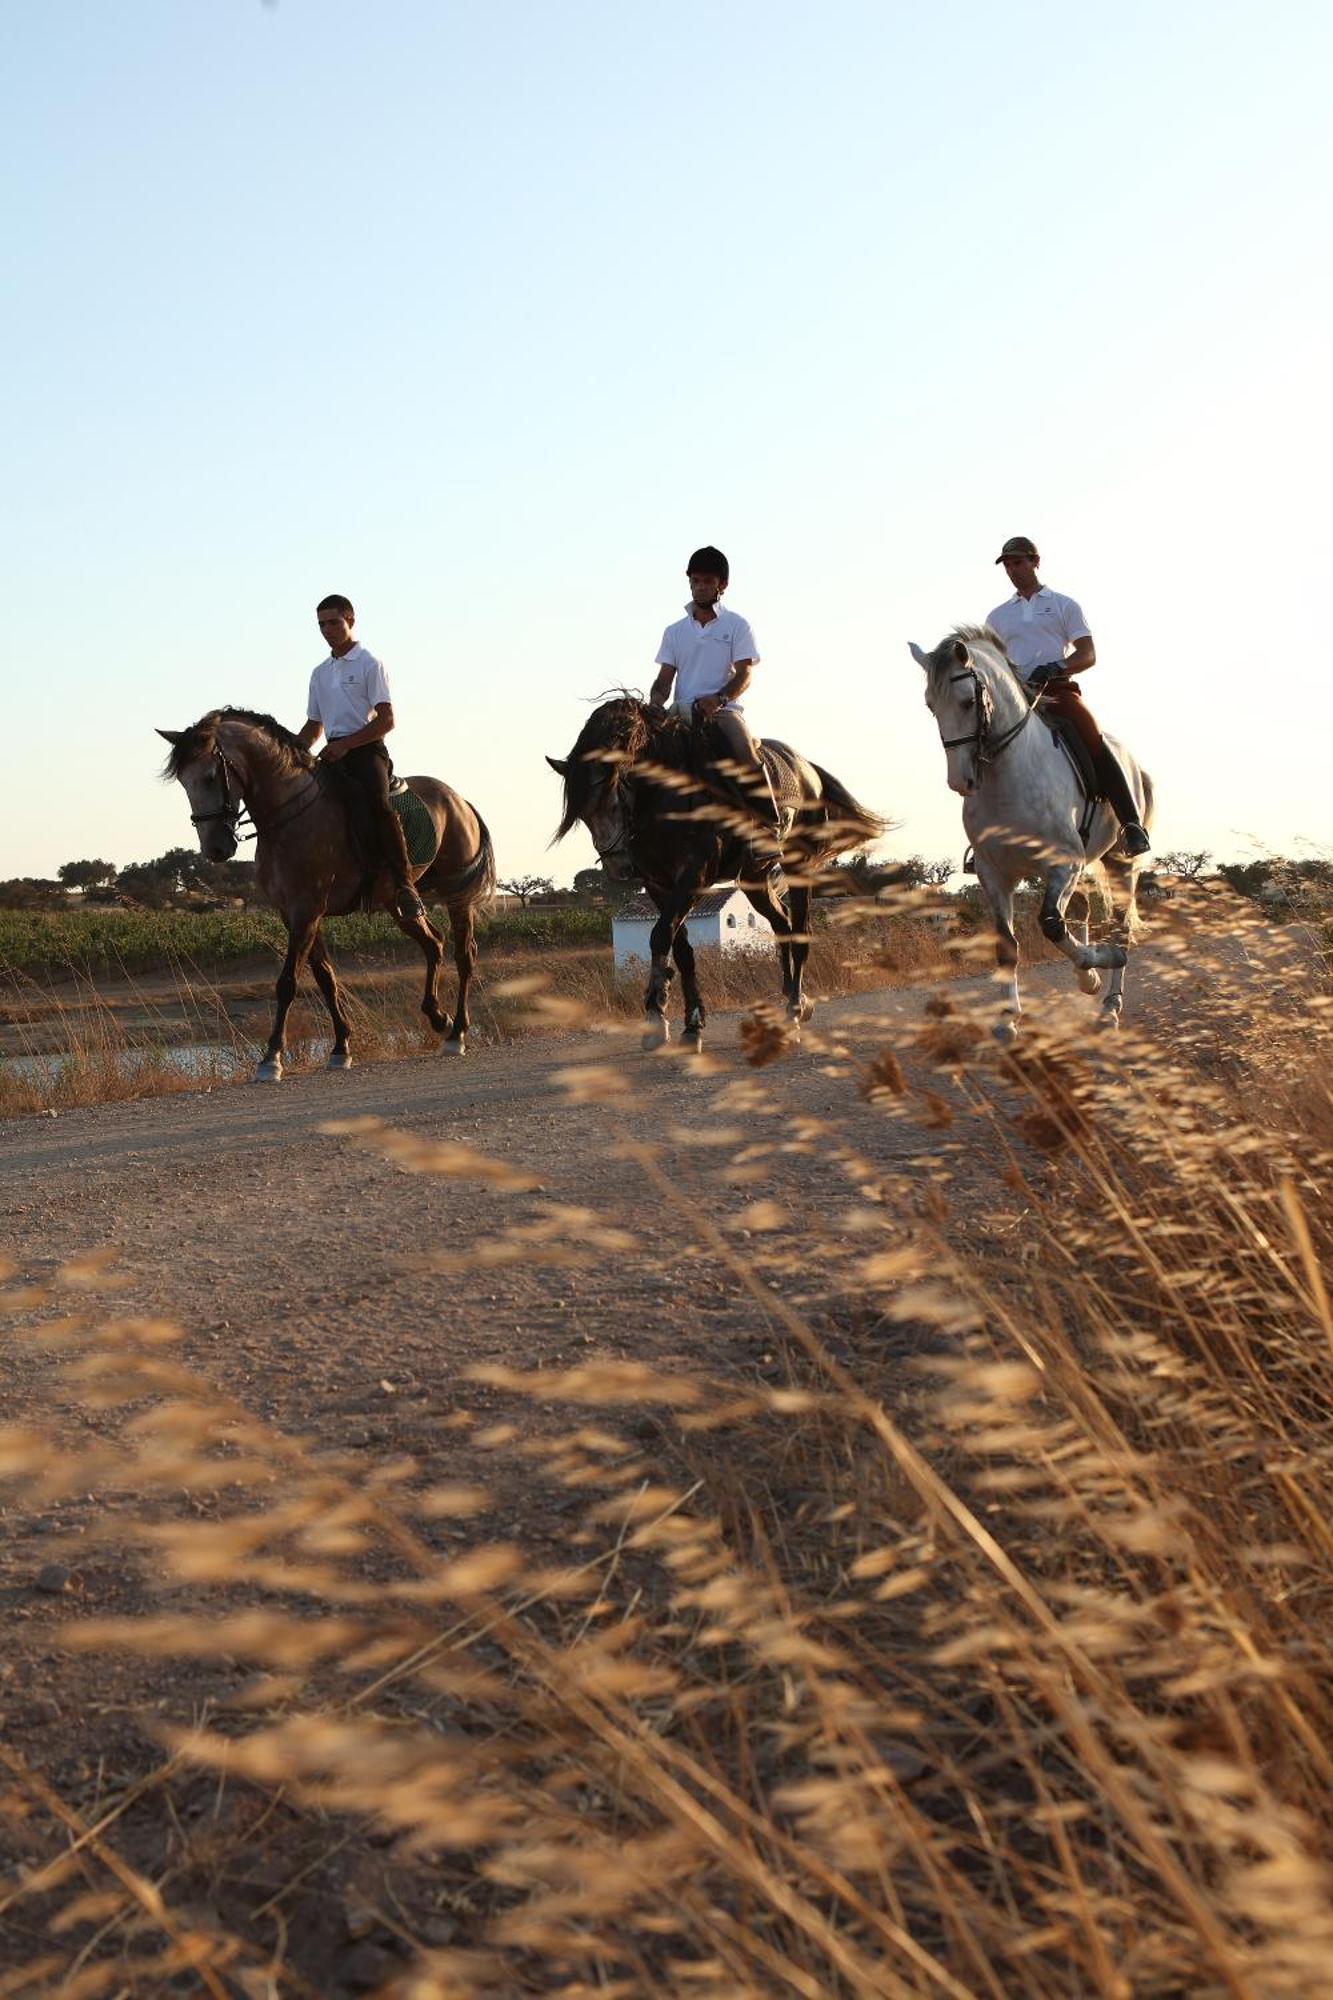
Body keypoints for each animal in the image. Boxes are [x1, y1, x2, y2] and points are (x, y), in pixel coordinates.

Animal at [160, 708, 492, 1080]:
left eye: (210, 776)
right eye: (184, 782)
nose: (216, 849)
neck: (288, 816)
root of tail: (459, 801)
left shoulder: (308, 909)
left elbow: (288, 982)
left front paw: (271, 1058)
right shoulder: (294, 913)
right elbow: (325, 978)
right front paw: (340, 1048)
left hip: (457, 896)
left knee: (464, 955)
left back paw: (457, 1033)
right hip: (396, 903)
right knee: (433, 943)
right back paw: (438, 1018)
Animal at [540, 696, 880, 1048]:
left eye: (614, 800)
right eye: (584, 815)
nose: (618, 867)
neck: (663, 797)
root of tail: (807, 769)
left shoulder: (695, 876)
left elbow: (660, 936)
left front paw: (658, 1015)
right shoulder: (658, 884)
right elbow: (681, 950)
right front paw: (686, 1021)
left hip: (799, 864)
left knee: (800, 931)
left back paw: (795, 1011)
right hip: (754, 878)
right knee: (782, 923)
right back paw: (794, 1000)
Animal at [908, 624, 1144, 1040]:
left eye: (967, 702)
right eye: (930, 706)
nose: (960, 781)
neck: (1008, 777)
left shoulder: (1063, 864)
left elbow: (1051, 924)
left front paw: (1098, 964)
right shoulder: (994, 873)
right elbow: (1007, 944)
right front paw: (1007, 1018)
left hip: (1120, 862)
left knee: (1119, 925)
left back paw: (1110, 1004)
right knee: (1082, 910)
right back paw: (1090, 981)